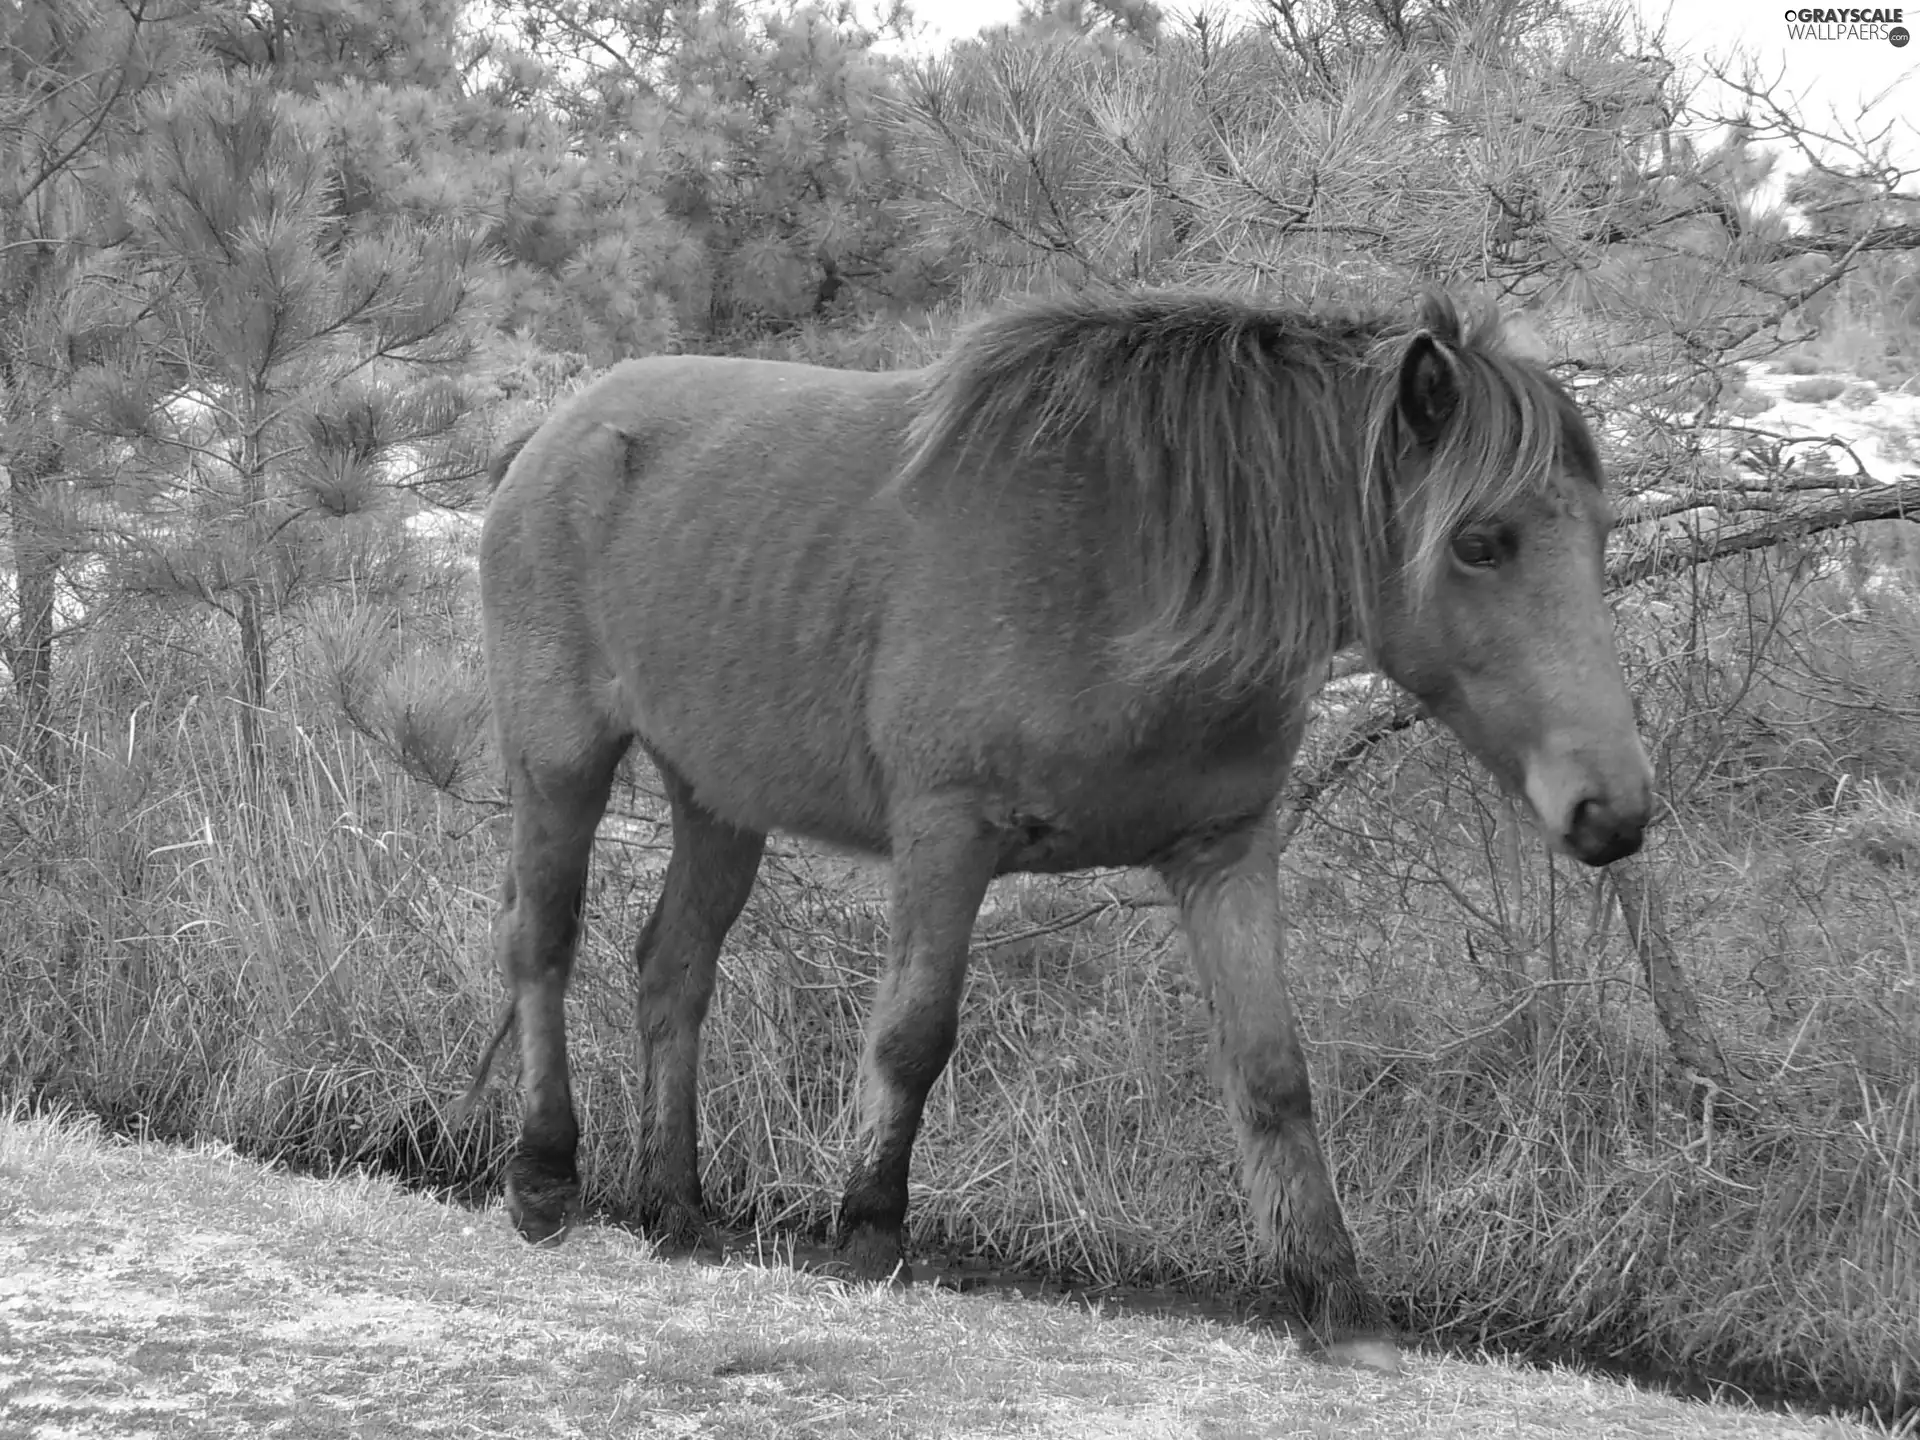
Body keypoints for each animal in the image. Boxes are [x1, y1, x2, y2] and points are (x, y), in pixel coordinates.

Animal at [464, 288, 1651, 1367]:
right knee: (541, 944)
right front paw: (868, 1232)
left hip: (717, 802)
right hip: (560, 764)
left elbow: (1272, 1072)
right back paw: (544, 1175)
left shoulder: (1224, 855)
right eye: (1481, 542)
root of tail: (554, 432)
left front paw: (1335, 1299)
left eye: (1597, 536)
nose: (1615, 811)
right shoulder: (947, 838)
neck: (1126, 563)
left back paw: (674, 1206)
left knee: (673, 969)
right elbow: (913, 1035)